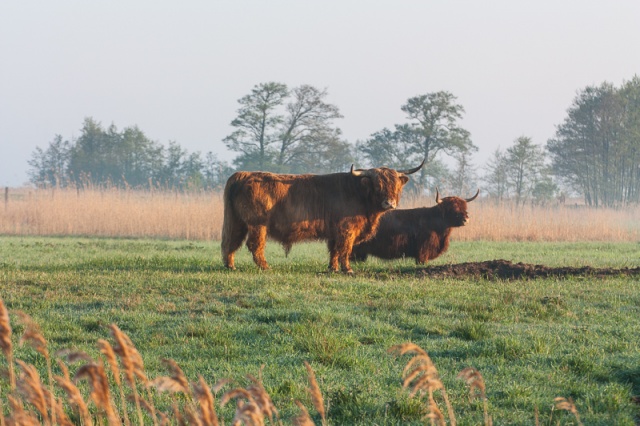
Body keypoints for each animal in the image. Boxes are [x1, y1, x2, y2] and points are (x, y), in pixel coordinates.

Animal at [221, 161, 424, 274]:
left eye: (395, 185)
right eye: (378, 185)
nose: (389, 203)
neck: (359, 193)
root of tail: (243, 174)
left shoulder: (335, 231)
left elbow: (334, 250)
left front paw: (332, 268)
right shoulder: (347, 229)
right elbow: (345, 249)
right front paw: (347, 269)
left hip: (237, 221)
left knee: (231, 242)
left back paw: (231, 266)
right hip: (258, 224)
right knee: (254, 245)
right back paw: (265, 267)